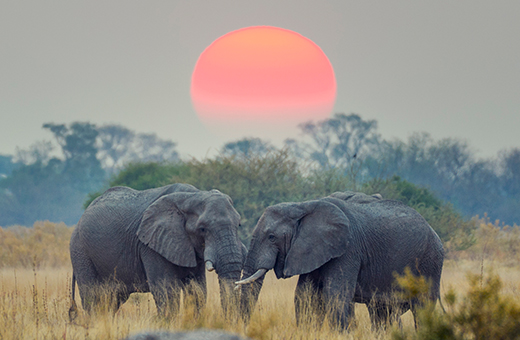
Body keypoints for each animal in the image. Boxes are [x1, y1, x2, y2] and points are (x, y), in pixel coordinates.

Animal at [69, 182, 246, 318]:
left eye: (238, 224)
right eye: (202, 229)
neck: (192, 196)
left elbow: (197, 290)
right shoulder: (150, 245)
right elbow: (167, 291)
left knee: (112, 300)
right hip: (80, 251)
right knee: (93, 298)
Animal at [238, 190, 444, 328]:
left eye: (271, 237)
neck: (303, 205)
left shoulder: (348, 249)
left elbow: (335, 294)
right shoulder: (313, 250)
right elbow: (305, 295)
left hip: (430, 262)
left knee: (422, 308)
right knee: (382, 312)